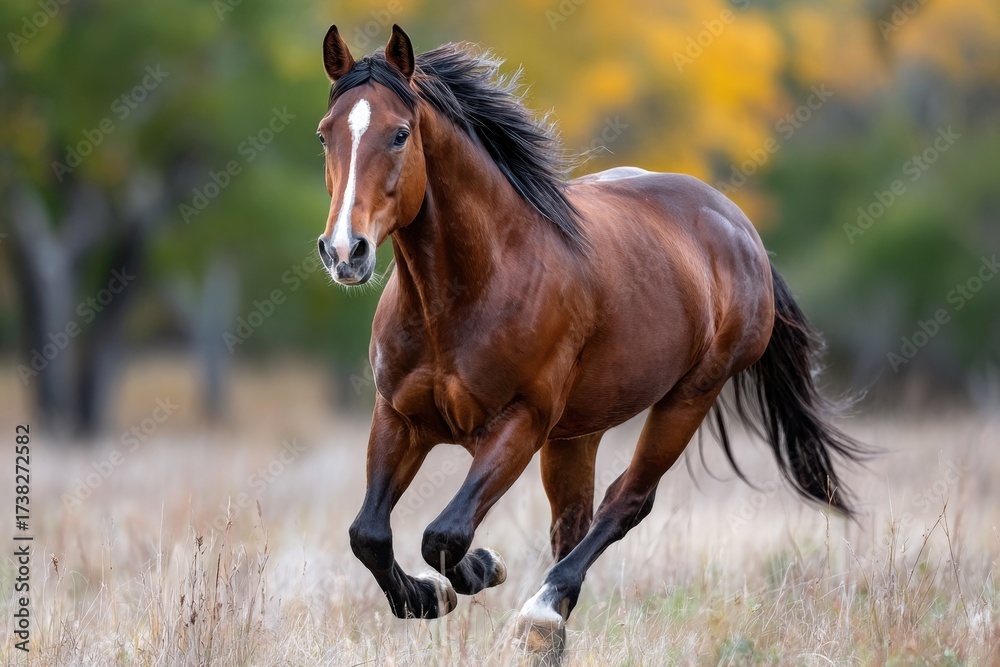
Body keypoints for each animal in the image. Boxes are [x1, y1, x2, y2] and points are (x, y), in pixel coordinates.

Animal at [314, 24, 863, 657]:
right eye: (325, 133)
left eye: (400, 134)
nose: (345, 251)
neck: (462, 295)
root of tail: (739, 227)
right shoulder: (400, 417)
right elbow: (369, 534)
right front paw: (430, 596)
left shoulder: (519, 423)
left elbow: (445, 535)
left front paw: (480, 569)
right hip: (580, 431)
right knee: (572, 521)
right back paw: (548, 629)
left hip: (688, 398)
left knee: (625, 503)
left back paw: (541, 612)